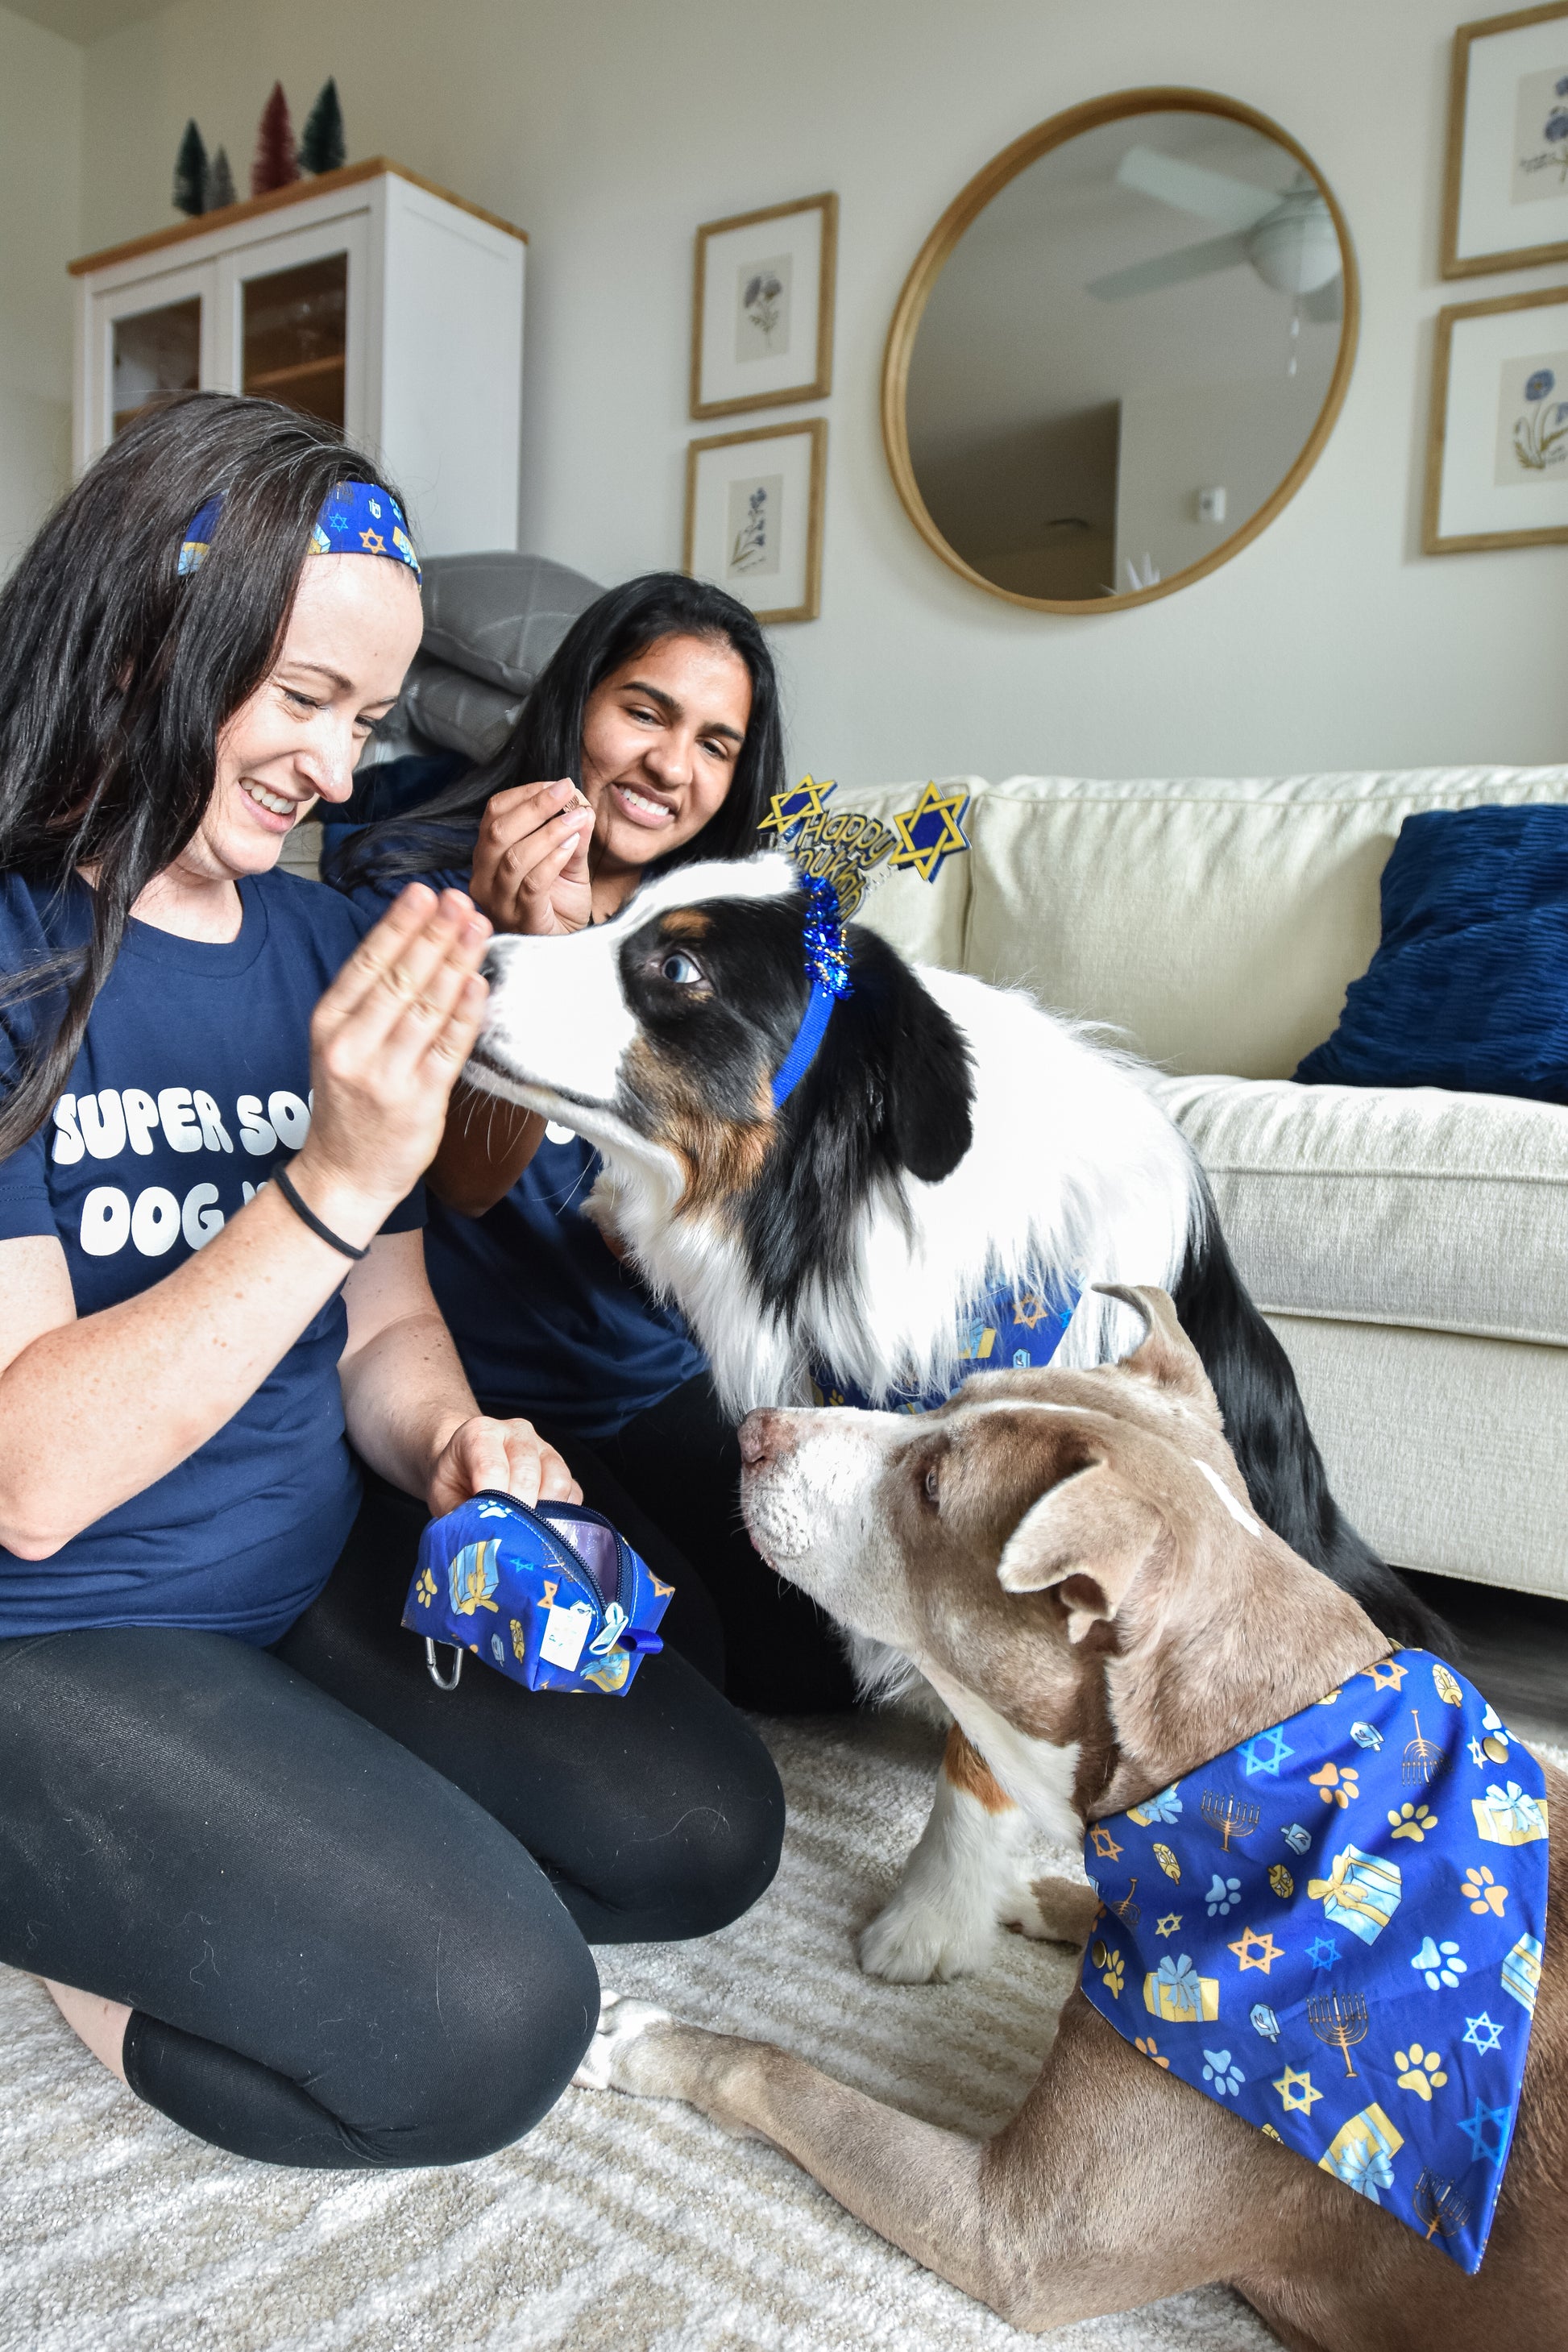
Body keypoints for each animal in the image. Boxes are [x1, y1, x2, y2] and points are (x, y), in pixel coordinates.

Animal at [575, 1298, 1568, 2342]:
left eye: (932, 1486)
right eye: (950, 1397)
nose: (756, 1428)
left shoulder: (1014, 2234)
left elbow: (782, 2075)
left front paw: (640, 2040)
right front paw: (1034, 1896)